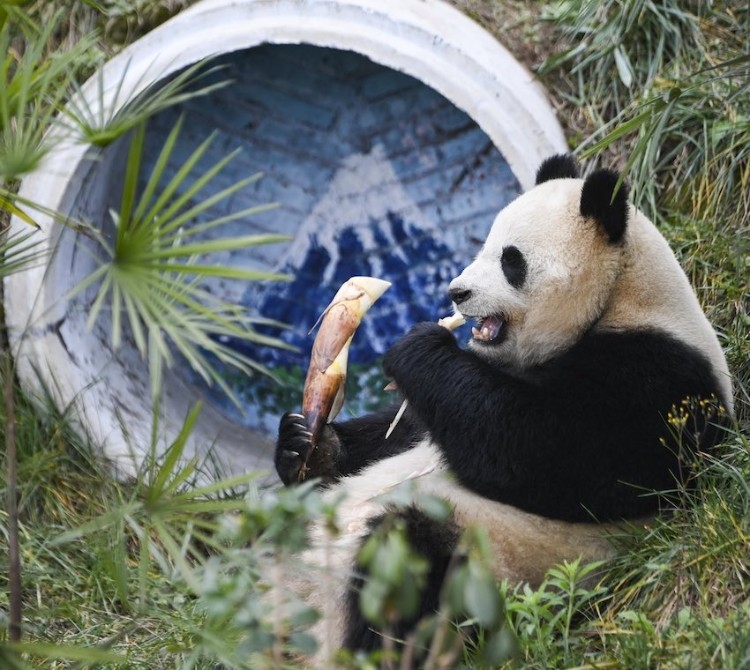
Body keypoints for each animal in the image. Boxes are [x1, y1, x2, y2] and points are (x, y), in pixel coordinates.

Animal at [272, 156, 736, 668]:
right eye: (484, 245)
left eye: (510, 260)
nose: (457, 292)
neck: (622, 295)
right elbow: (411, 425)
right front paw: (306, 446)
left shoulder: (655, 382)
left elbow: (536, 451)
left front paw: (418, 345)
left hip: (491, 561)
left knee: (403, 562)